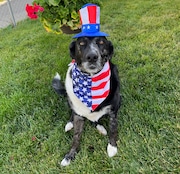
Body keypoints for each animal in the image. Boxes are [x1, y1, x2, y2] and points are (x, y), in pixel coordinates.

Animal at [52, 36, 121, 167]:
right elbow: (76, 137)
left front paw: (112, 147)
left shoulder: (113, 111)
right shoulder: (79, 116)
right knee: (73, 113)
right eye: (81, 43)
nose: (92, 57)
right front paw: (70, 155)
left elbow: (113, 130)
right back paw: (70, 123)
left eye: (101, 42)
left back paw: (101, 128)